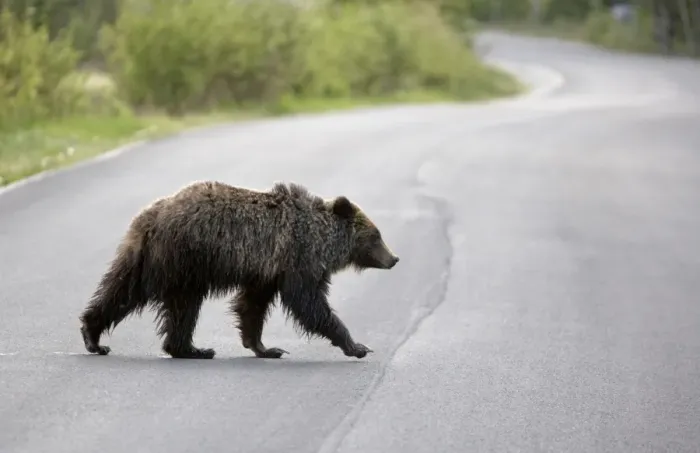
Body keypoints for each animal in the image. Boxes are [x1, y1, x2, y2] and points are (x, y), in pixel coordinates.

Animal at [78, 180, 399, 360]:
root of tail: (149, 217)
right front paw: (356, 346)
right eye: (376, 235)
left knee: (122, 290)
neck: (322, 239)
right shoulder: (297, 259)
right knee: (183, 305)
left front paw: (264, 347)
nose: (394, 258)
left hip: (146, 259)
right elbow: (308, 303)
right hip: (186, 260)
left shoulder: (266, 271)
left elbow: (252, 306)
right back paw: (193, 349)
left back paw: (95, 336)